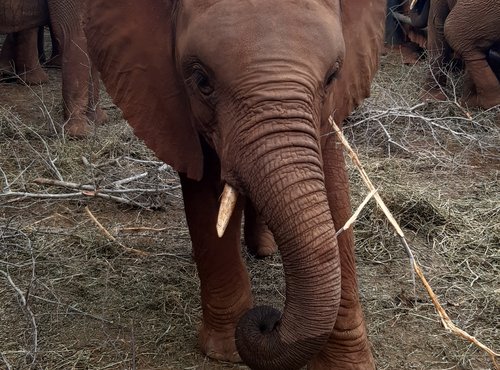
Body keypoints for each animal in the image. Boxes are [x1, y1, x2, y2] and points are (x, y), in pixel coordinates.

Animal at [84, 1, 384, 368]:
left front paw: (348, 364)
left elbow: (335, 192)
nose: (269, 321)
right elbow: (207, 192)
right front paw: (226, 353)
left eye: (332, 77)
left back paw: (265, 250)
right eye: (201, 80)